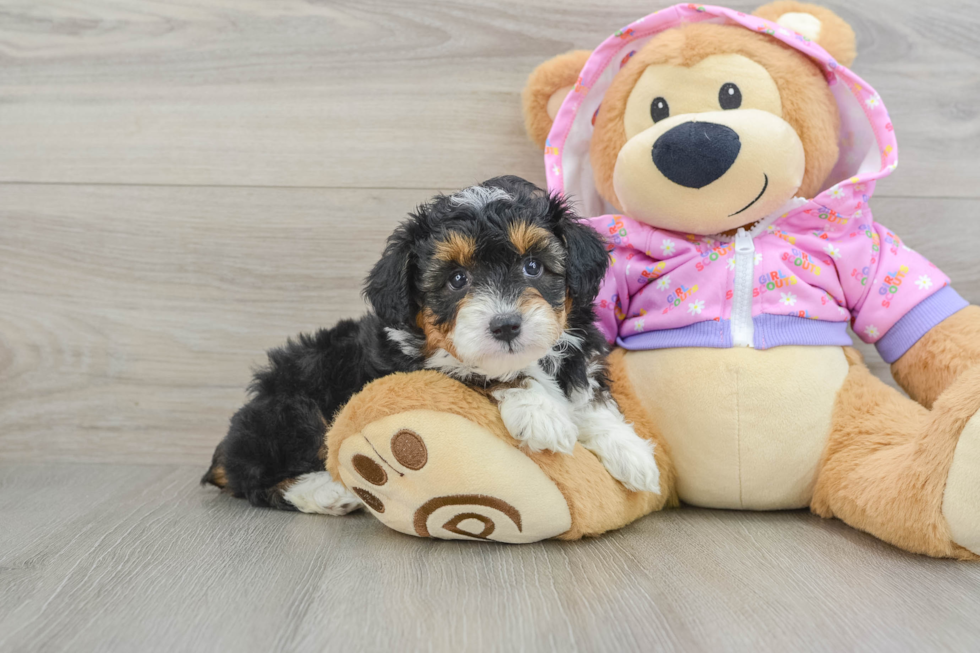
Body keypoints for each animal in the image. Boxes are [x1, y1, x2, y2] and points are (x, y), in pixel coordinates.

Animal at [205, 176, 668, 512]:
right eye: (457, 279)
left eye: (533, 266)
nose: (506, 325)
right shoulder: (428, 364)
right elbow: (490, 374)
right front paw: (542, 413)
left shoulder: (576, 348)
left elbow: (587, 392)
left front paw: (629, 451)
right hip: (294, 410)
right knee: (255, 480)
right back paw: (326, 492)